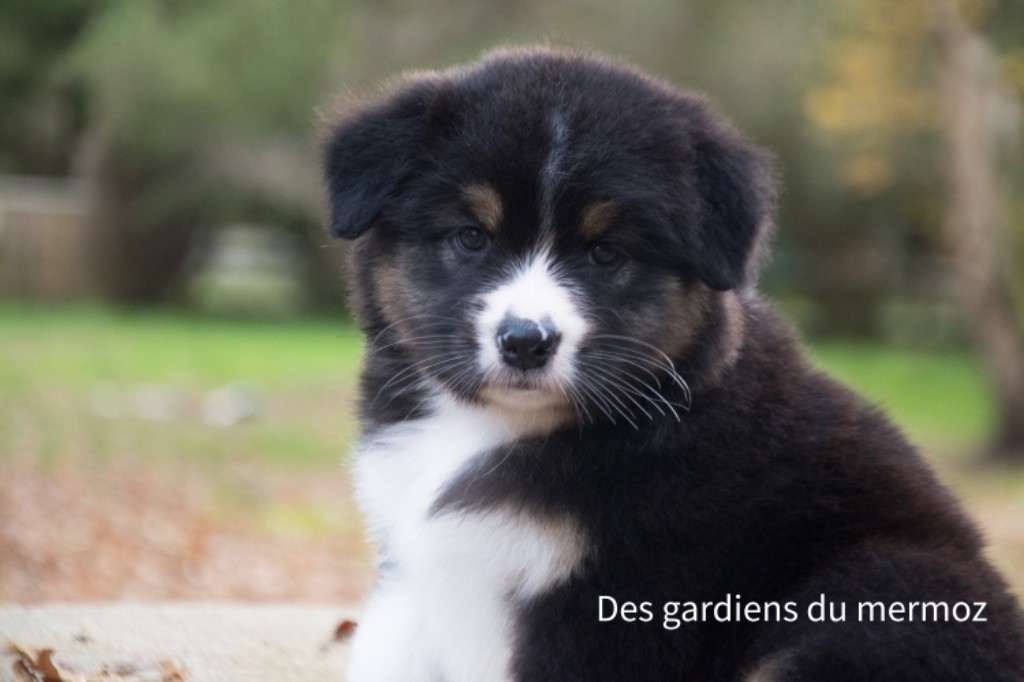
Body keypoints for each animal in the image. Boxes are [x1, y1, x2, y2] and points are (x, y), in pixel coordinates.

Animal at [322, 47, 1024, 681]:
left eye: (606, 252)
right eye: (472, 236)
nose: (525, 341)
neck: (492, 430)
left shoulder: (620, 609)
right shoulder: (416, 571)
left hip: (879, 587)